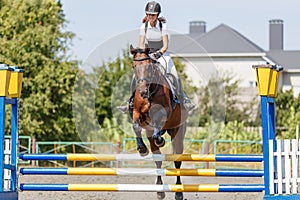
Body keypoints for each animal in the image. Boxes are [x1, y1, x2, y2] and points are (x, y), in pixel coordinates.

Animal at [129, 45, 188, 200]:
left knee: (177, 161)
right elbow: (136, 126)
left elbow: (158, 120)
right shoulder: (136, 112)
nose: (142, 92)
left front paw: (160, 140)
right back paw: (160, 191)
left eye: (149, 67)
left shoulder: (164, 111)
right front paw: (142, 149)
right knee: (158, 159)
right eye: (134, 66)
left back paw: (178, 192)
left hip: (178, 133)